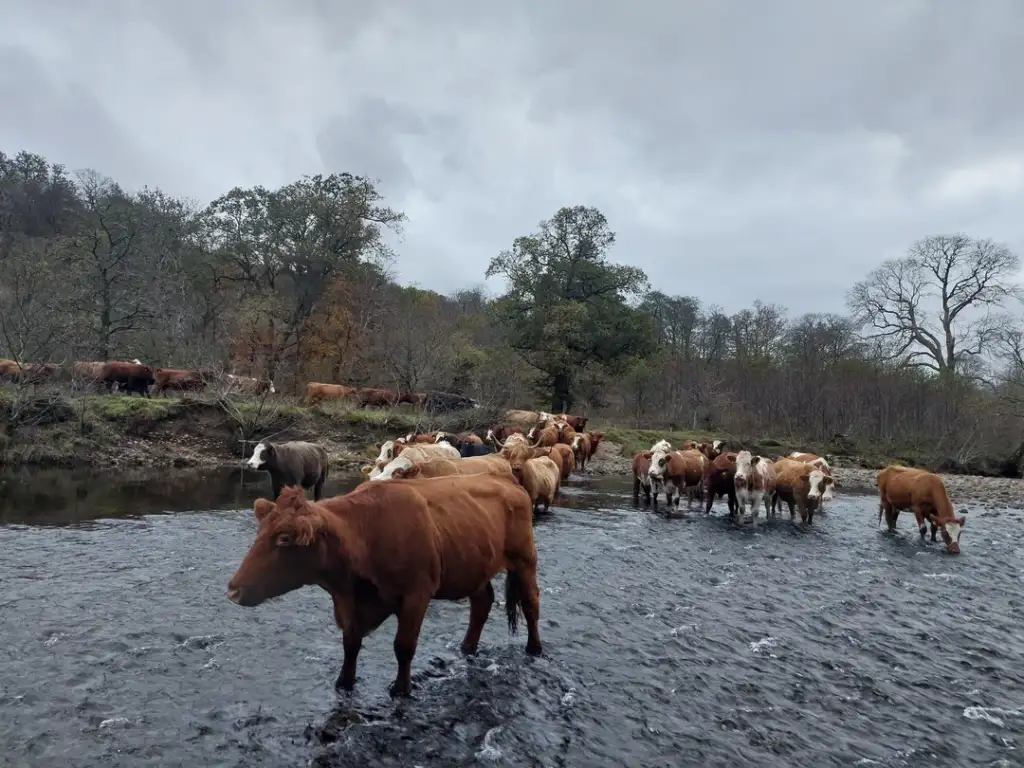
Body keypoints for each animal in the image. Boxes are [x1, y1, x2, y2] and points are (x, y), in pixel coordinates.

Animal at [226, 481, 544, 696]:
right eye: (260, 532)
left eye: (284, 538)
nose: (233, 591)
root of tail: (510, 484)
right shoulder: (350, 603)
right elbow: (350, 644)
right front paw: (344, 682)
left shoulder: (417, 594)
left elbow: (403, 647)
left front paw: (401, 689)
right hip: (474, 565)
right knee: (482, 603)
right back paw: (467, 648)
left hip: (524, 560)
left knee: (530, 604)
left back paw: (535, 649)